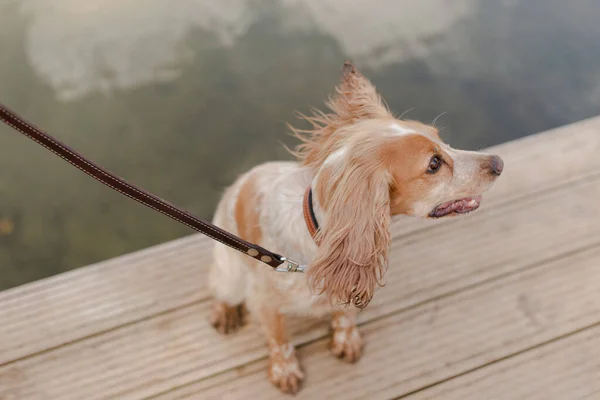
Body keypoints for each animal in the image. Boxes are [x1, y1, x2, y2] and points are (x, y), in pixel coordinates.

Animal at [206, 62, 502, 394]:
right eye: (434, 164)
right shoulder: (264, 303)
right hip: (230, 275)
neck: (320, 244)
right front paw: (285, 370)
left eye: (442, 139)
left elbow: (346, 314)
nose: (499, 162)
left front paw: (346, 340)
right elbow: (280, 339)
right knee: (219, 288)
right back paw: (225, 313)